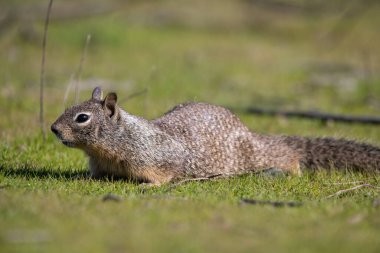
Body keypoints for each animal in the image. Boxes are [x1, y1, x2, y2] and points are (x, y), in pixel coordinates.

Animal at [51, 86, 380, 184]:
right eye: (69, 108)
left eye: (82, 118)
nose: (53, 128)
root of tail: (250, 132)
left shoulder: (156, 158)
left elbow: (163, 175)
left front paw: (149, 187)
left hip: (254, 156)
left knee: (286, 154)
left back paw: (293, 168)